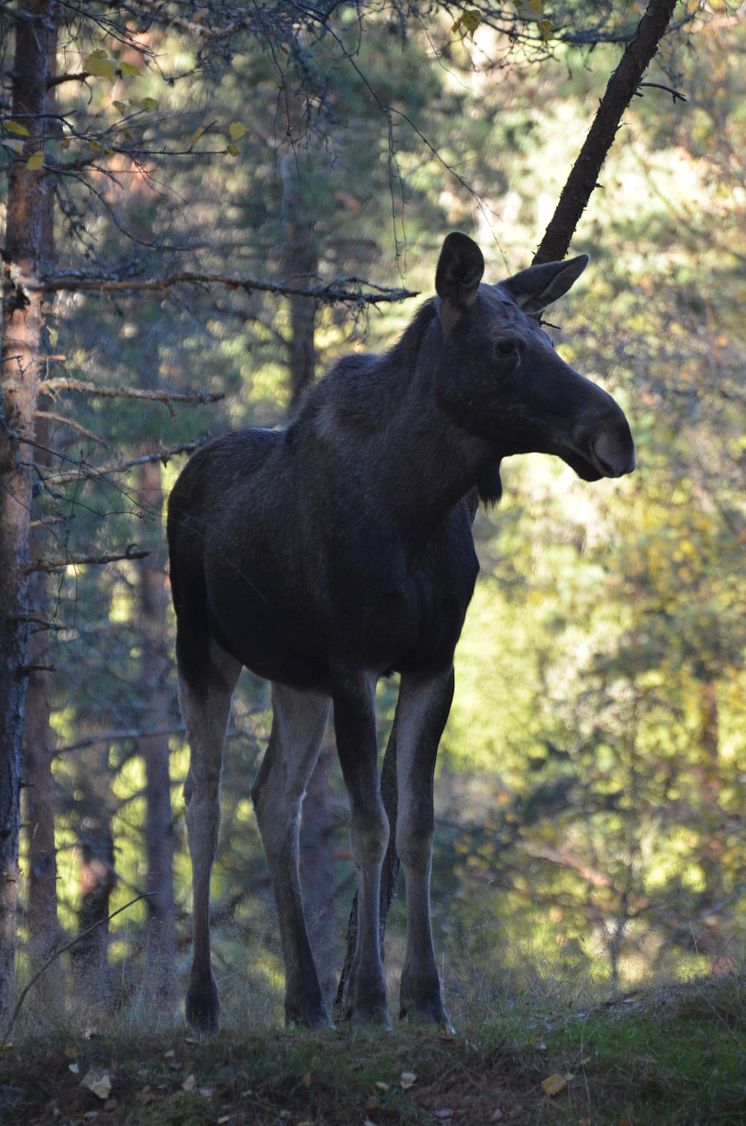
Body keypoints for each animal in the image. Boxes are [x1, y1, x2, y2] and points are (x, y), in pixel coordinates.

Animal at [167, 233, 634, 1031]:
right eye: (507, 347)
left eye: (550, 338)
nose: (616, 435)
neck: (416, 502)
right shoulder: (353, 662)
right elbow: (370, 824)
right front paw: (372, 999)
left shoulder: (432, 664)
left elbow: (416, 825)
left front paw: (425, 995)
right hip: (202, 648)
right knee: (204, 801)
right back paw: (203, 1001)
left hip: (295, 679)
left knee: (273, 798)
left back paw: (305, 999)